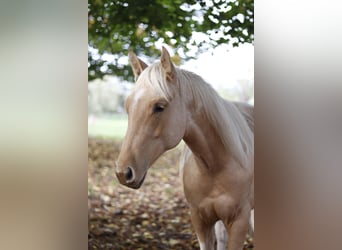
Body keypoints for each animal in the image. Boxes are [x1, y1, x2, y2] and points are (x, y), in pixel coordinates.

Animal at [116, 47, 252, 250]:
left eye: (159, 107)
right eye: (128, 106)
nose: (123, 173)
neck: (215, 167)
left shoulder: (240, 222)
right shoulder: (200, 220)